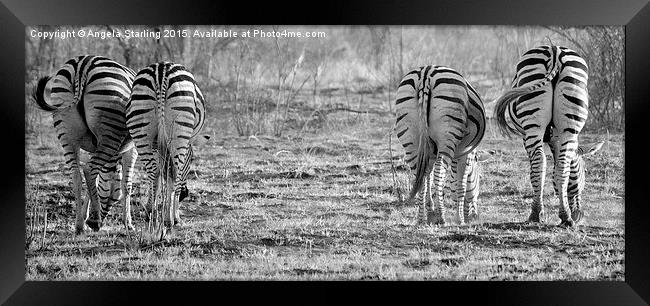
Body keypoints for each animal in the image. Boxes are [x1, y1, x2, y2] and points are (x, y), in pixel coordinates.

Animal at [31, 55, 137, 233]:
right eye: (114, 198)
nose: (92, 225)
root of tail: (83, 65)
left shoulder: (94, 147)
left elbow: (92, 183)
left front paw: (85, 216)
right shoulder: (131, 149)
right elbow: (126, 185)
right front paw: (128, 223)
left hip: (67, 135)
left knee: (76, 175)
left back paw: (79, 225)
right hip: (110, 129)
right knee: (89, 169)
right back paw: (95, 219)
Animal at [124, 61, 208, 230]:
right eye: (192, 160)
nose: (185, 195)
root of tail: (161, 71)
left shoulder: (157, 145)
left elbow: (163, 170)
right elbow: (176, 175)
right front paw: (175, 215)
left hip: (140, 129)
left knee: (154, 171)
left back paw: (150, 212)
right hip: (179, 131)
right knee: (174, 174)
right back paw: (169, 219)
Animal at [392, 65, 488, 226]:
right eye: (478, 178)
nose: (476, 216)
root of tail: (426, 73)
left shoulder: (429, 153)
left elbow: (427, 176)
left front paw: (430, 211)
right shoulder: (466, 154)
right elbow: (460, 184)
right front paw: (459, 218)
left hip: (410, 137)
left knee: (419, 175)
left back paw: (420, 218)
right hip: (447, 135)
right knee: (439, 172)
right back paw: (442, 218)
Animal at [494, 46, 600, 227]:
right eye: (584, 170)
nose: (579, 215)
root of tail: (555, 51)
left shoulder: (533, 136)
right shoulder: (555, 137)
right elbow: (558, 169)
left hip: (533, 125)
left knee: (539, 162)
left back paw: (537, 213)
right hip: (567, 124)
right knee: (561, 166)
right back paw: (564, 216)